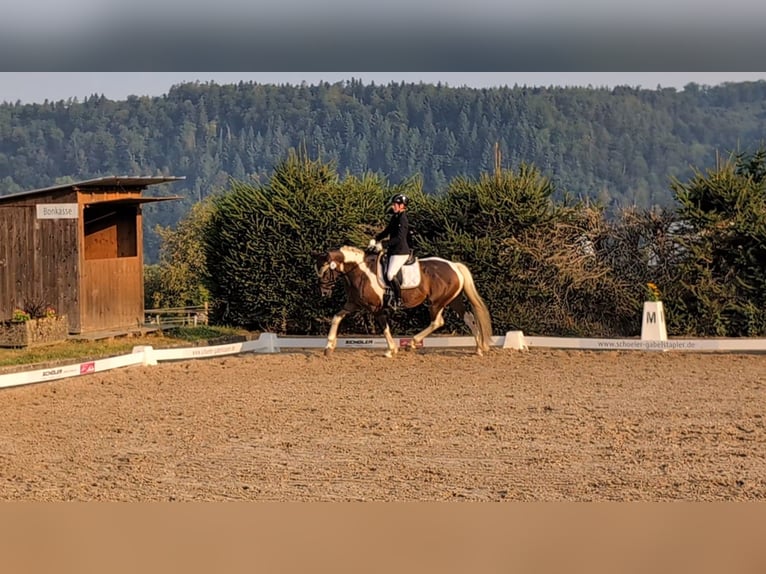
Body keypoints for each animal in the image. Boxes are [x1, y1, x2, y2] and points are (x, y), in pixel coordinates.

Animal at [313, 246, 493, 358]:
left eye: (326, 271)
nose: (324, 292)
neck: (360, 271)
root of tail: (454, 265)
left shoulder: (376, 308)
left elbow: (384, 328)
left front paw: (391, 350)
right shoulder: (353, 304)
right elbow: (336, 318)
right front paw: (328, 348)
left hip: (437, 302)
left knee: (437, 322)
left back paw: (411, 343)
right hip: (453, 300)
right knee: (469, 318)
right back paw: (479, 349)